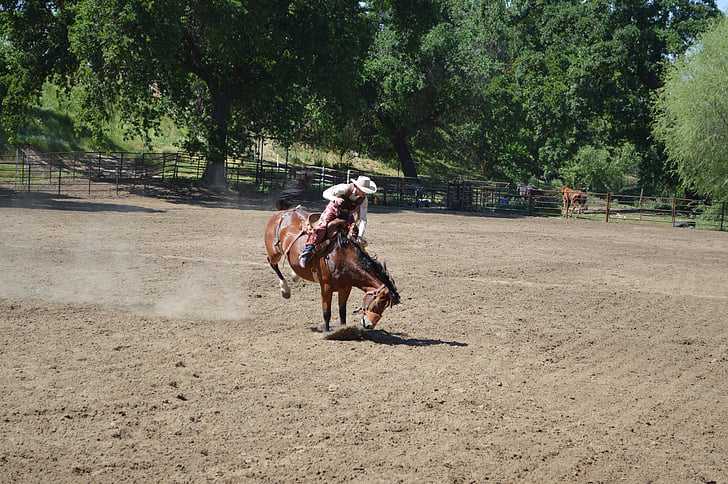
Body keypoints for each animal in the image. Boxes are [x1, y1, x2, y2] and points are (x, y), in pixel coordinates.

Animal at [264, 204, 400, 332]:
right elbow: (327, 312)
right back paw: (285, 290)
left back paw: (295, 275)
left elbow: (342, 311)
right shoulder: (326, 287)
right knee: (272, 263)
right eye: (378, 302)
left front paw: (344, 329)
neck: (342, 258)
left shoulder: (346, 288)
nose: (369, 325)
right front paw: (327, 331)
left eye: (385, 306)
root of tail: (282, 213)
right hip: (274, 252)